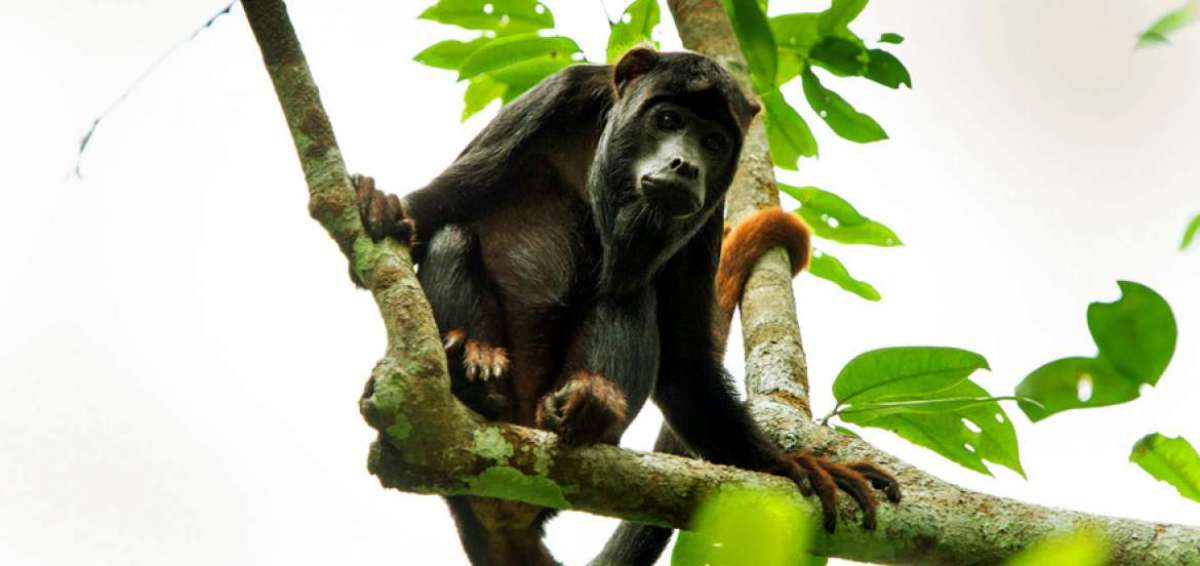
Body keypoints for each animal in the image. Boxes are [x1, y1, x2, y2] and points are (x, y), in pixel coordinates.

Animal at [353, 47, 899, 565]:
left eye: (714, 143)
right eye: (668, 120)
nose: (686, 165)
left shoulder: (709, 212)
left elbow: (684, 364)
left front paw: (791, 464)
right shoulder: (552, 98)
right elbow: (436, 208)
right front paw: (381, 205)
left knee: (630, 295)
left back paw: (594, 401)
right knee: (454, 235)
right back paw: (474, 367)